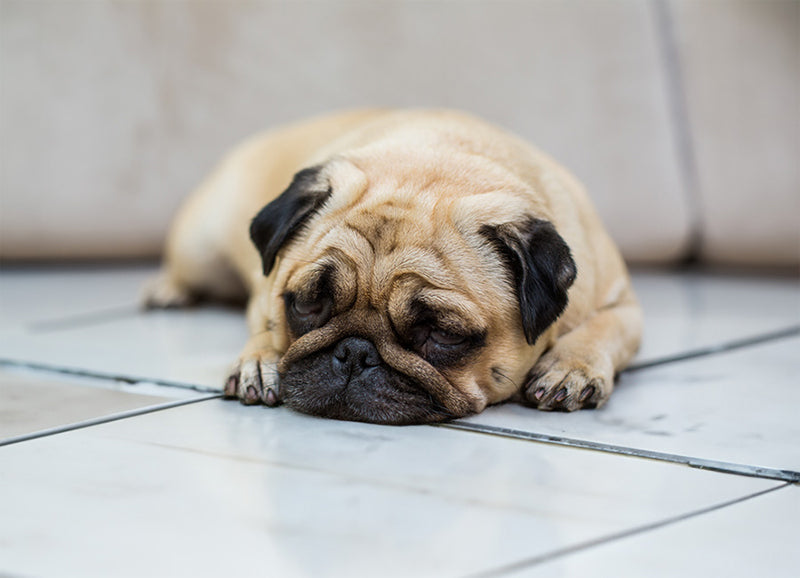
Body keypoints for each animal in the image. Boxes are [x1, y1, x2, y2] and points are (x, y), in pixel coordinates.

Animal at [144, 108, 644, 424]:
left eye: (443, 334)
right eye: (305, 305)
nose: (354, 353)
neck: (444, 155)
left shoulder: (624, 306)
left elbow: (606, 329)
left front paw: (571, 366)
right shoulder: (265, 291)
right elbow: (264, 325)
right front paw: (261, 358)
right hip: (200, 248)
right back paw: (166, 290)